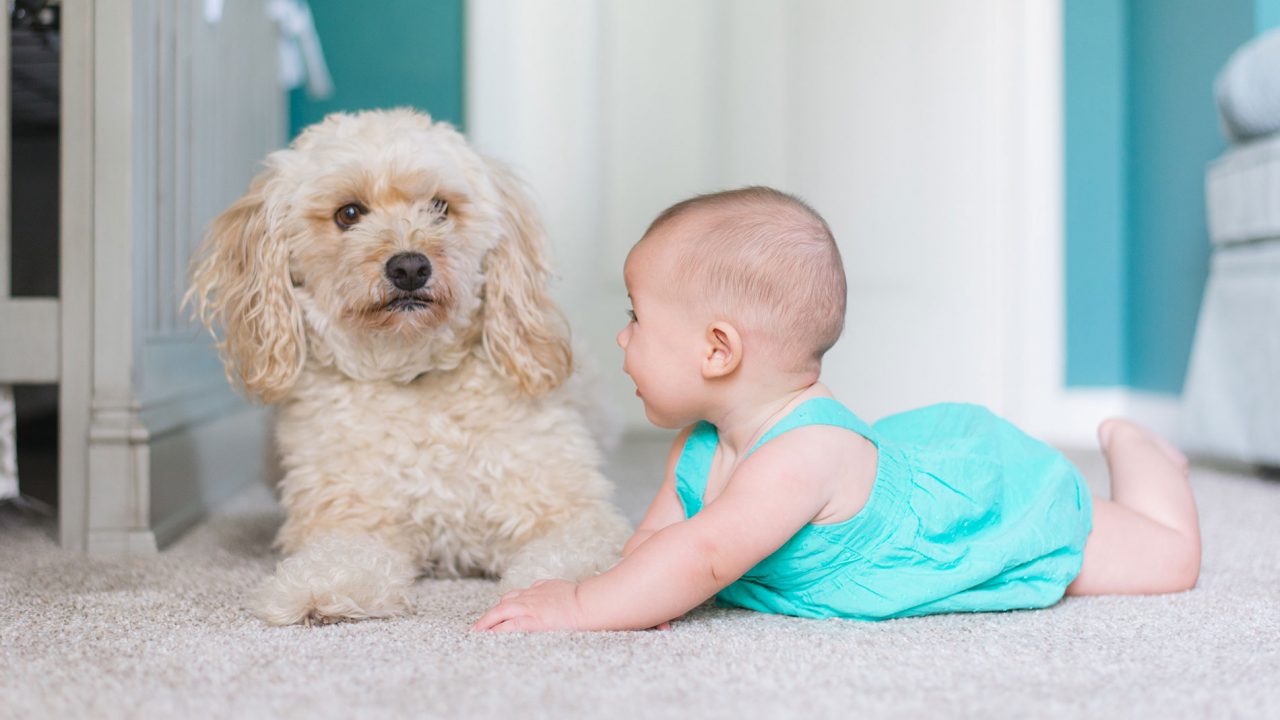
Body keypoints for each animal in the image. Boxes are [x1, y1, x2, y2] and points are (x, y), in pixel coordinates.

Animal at [186, 106, 629, 622]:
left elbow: (574, 554)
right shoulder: (351, 517)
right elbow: (342, 556)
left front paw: (562, 593)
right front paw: (320, 588)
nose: (410, 267)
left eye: (440, 207)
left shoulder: (571, 511)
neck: (412, 373)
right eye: (349, 214)